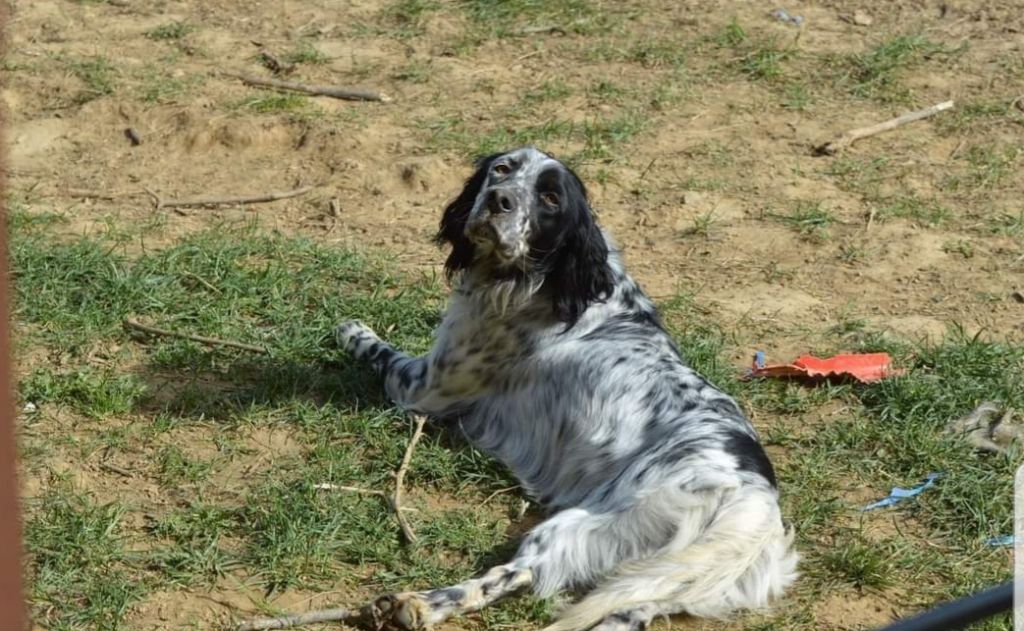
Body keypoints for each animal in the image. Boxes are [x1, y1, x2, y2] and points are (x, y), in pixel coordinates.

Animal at [337, 145, 798, 626]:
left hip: (585, 525)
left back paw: (418, 604)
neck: (556, 279)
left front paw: (351, 329)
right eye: (502, 169)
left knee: (513, 574)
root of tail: (755, 505)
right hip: (671, 575)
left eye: (551, 198)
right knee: (631, 611)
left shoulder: (425, 386)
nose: (499, 199)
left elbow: (376, 349)